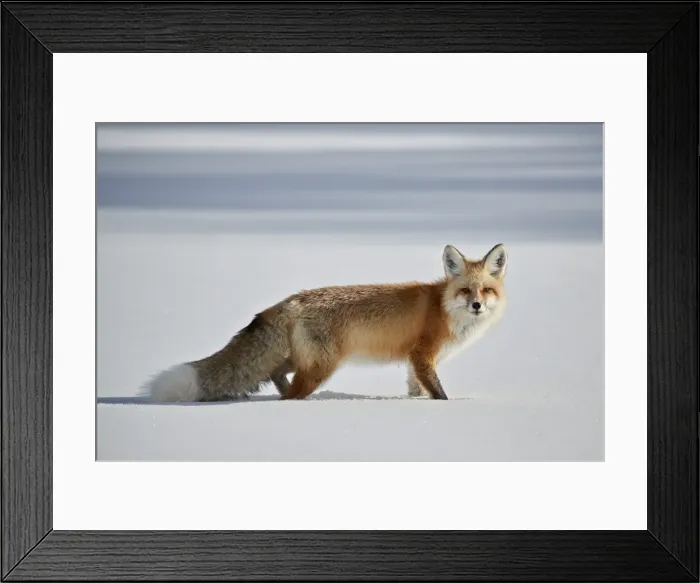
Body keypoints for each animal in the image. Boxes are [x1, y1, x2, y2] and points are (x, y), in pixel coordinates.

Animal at [141, 243, 508, 402]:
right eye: (465, 290)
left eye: (486, 290)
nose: (477, 305)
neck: (444, 307)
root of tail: (291, 299)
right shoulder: (422, 355)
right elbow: (439, 394)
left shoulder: (413, 362)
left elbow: (416, 391)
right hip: (321, 365)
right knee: (288, 392)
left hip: (304, 359)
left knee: (274, 372)